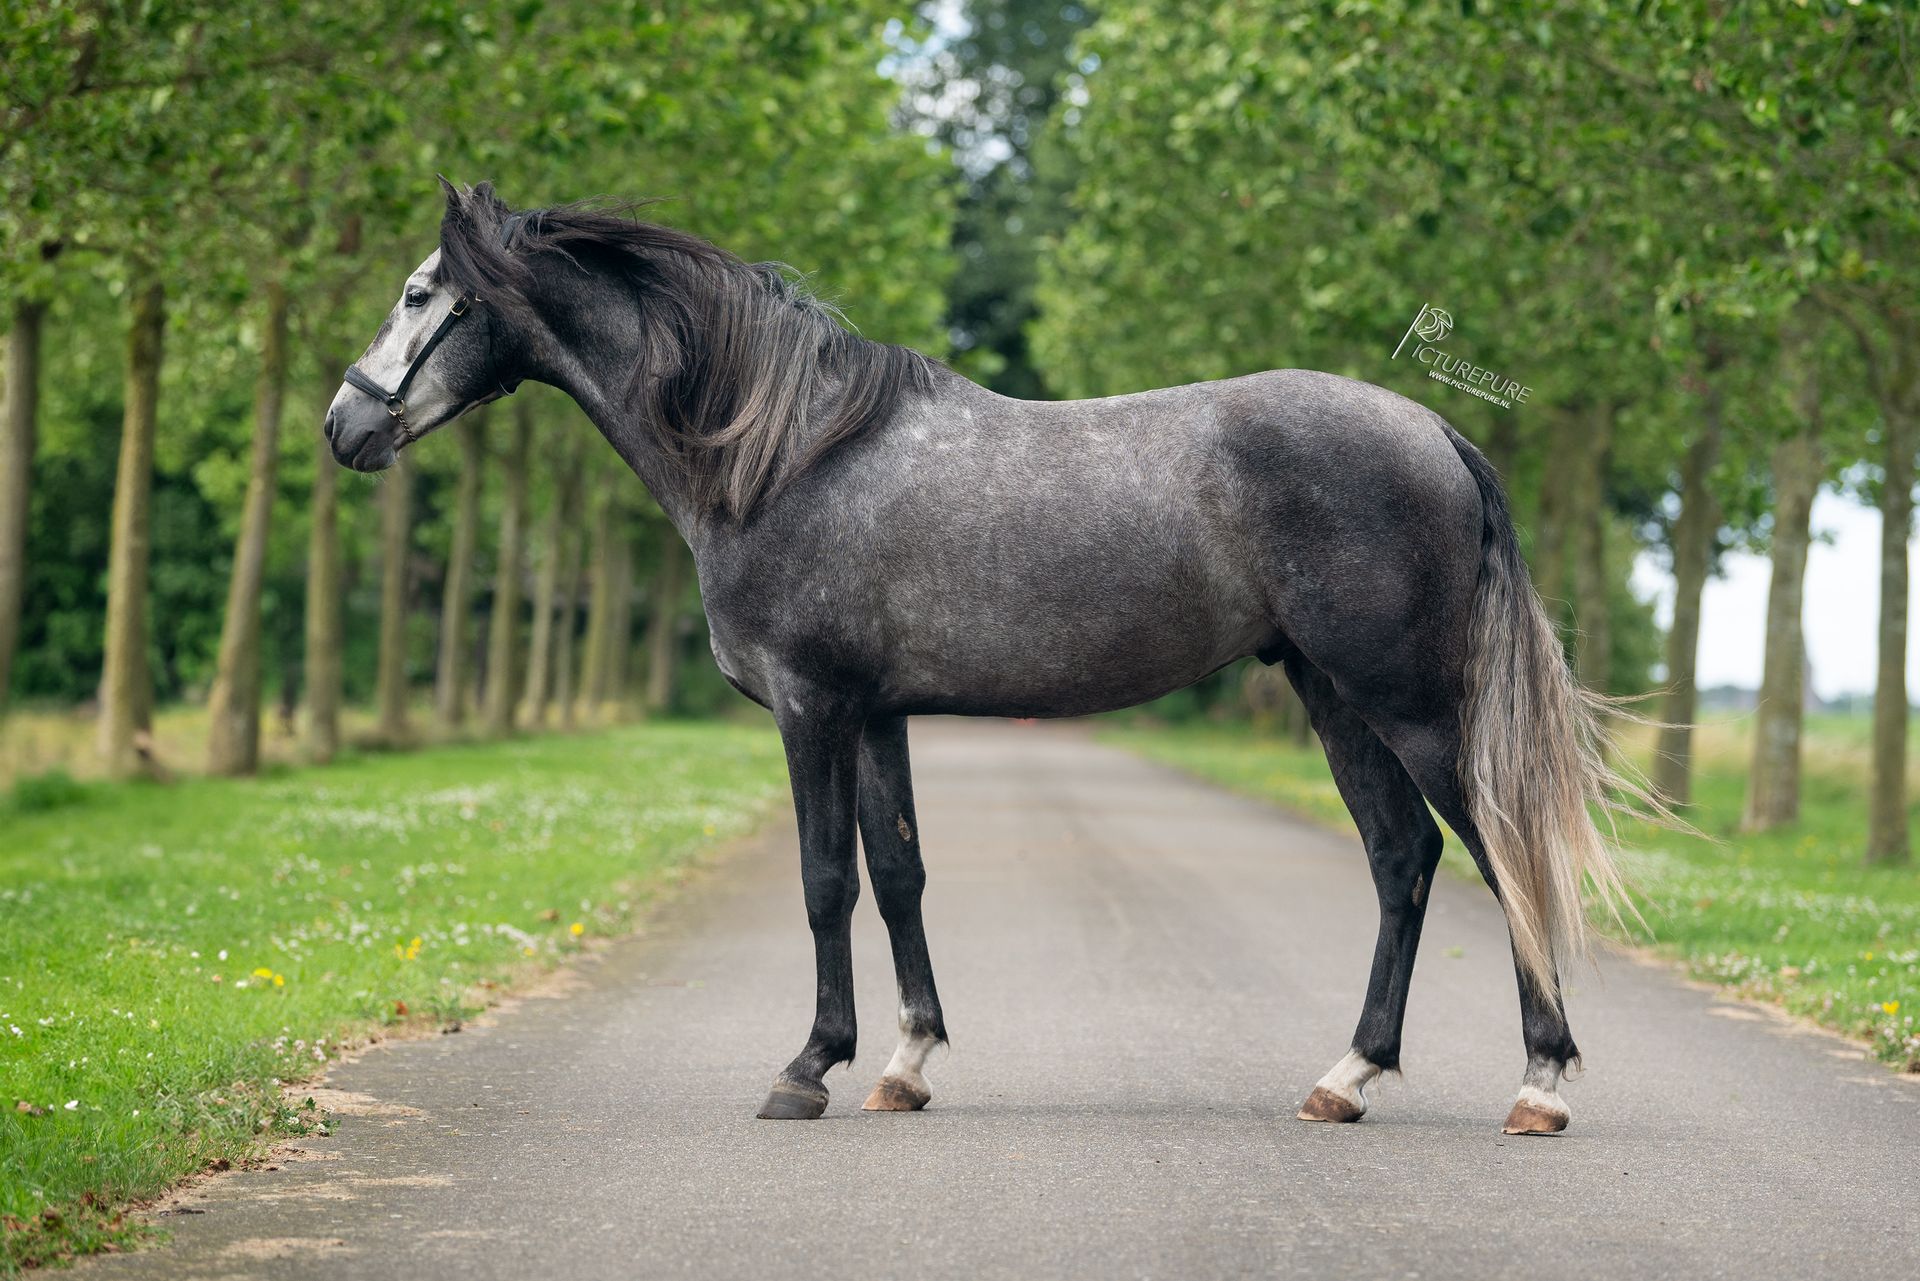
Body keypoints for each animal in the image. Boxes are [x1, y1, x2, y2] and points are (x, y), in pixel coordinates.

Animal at [325, 180, 1636, 1135]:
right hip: (1333, 696)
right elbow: (899, 873)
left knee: (1499, 852)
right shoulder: (877, 714)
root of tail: (1436, 429)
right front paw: (903, 1064)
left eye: (417, 292)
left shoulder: (810, 708)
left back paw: (1540, 1084)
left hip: (1403, 703)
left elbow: (825, 880)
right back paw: (1347, 1077)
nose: (343, 428)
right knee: (1402, 859)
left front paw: (806, 1068)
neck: (783, 452)